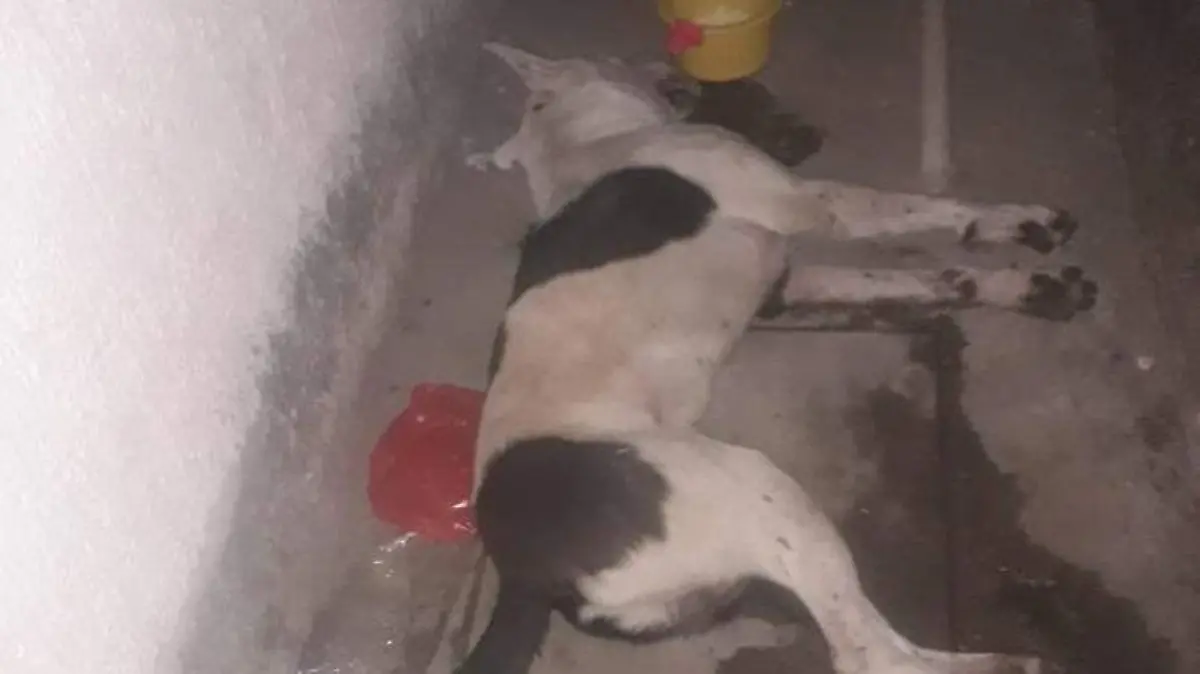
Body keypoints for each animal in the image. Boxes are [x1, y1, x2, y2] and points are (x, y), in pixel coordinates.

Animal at [456, 43, 1096, 674]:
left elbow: (935, 276)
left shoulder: (787, 284)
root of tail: (524, 577)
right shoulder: (814, 203)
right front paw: (1018, 225)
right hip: (762, 489)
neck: (579, 146)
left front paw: (1026, 282)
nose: (675, 69)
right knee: (868, 655)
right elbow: (919, 205)